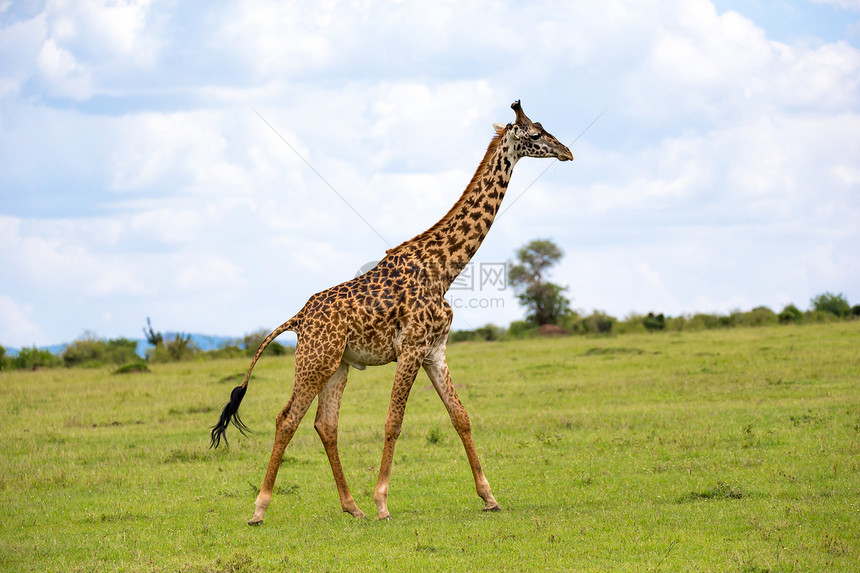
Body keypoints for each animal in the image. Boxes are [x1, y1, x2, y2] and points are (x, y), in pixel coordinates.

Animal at [209, 99, 576, 524]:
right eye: (535, 133)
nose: (567, 151)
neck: (444, 268)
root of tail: (298, 319)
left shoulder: (435, 351)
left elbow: (461, 417)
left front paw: (489, 497)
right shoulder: (412, 348)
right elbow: (394, 421)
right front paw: (383, 502)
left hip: (338, 365)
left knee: (325, 424)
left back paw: (351, 507)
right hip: (316, 360)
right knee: (288, 419)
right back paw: (260, 507)